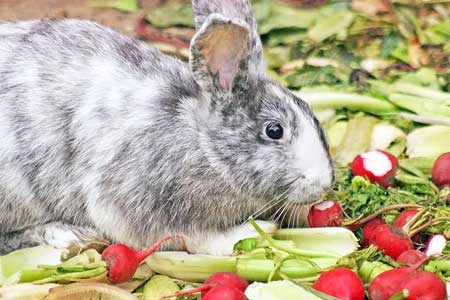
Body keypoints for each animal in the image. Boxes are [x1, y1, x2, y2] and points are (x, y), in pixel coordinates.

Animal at [0, 0, 332, 255]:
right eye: (274, 130)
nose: (325, 184)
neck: (202, 143)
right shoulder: (135, 202)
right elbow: (193, 238)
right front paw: (250, 233)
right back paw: (68, 236)